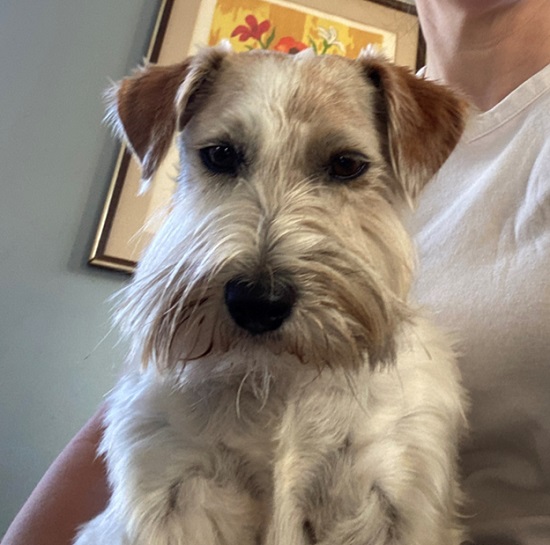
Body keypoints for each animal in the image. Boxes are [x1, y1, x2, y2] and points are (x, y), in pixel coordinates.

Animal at [74, 43, 470, 544]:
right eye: (221, 155)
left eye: (347, 164)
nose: (258, 302)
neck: (280, 382)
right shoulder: (174, 485)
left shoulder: (390, 491)